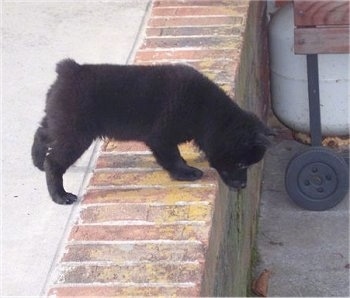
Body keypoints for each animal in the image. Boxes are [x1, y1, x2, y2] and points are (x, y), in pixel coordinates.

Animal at [32, 60, 274, 205]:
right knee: (54, 162)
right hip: (76, 134)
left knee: (42, 133)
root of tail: (69, 69)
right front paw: (186, 173)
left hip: (61, 123)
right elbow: (173, 158)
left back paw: (37, 161)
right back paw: (60, 195)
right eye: (241, 164)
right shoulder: (161, 138)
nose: (243, 185)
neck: (205, 111)